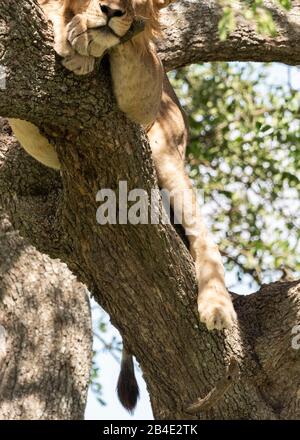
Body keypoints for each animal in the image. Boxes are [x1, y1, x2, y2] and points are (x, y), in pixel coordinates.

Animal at [8, 0, 237, 412]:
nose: (111, 11)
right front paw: (74, 32)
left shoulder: (145, 96)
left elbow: (134, 45)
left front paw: (88, 41)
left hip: (165, 151)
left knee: (202, 237)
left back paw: (216, 308)